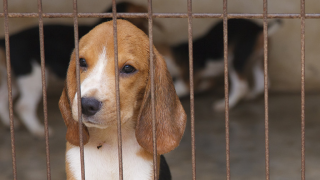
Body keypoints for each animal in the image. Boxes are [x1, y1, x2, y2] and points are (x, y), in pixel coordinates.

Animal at [0, 1, 162, 138]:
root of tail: (11, 38)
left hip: (16, 78)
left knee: (4, 97)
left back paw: (10, 123)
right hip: (34, 77)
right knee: (23, 106)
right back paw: (39, 130)